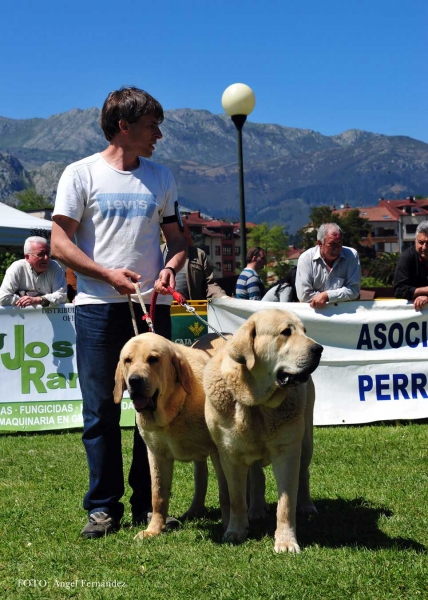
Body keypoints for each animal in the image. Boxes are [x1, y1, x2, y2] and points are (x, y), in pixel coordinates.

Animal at [112, 332, 229, 540]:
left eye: (153, 359)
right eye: (127, 360)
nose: (134, 380)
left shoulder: (219, 451)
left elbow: (225, 491)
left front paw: (229, 525)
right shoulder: (156, 454)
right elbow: (158, 495)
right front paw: (154, 529)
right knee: (201, 477)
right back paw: (195, 510)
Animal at [203, 310, 320, 552]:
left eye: (304, 331)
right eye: (285, 332)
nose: (319, 349)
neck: (256, 404)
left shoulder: (287, 452)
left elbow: (286, 503)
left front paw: (286, 541)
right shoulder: (229, 455)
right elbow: (236, 498)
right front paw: (236, 531)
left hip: (306, 442)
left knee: (304, 473)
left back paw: (306, 506)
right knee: (257, 476)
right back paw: (256, 509)